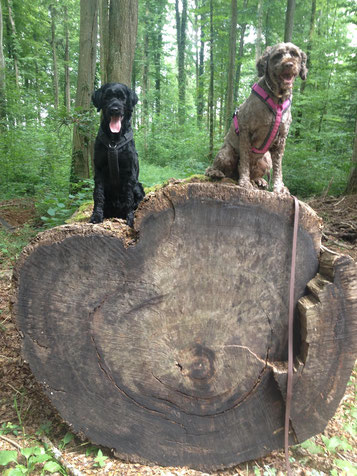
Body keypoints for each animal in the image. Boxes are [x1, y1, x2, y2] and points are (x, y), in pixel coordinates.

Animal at [89, 83, 144, 227]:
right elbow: (98, 195)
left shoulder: (129, 172)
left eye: (122, 98)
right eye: (107, 97)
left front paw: (130, 217)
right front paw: (96, 216)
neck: (114, 141)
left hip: (138, 186)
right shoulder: (99, 170)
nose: (114, 109)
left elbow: (129, 196)